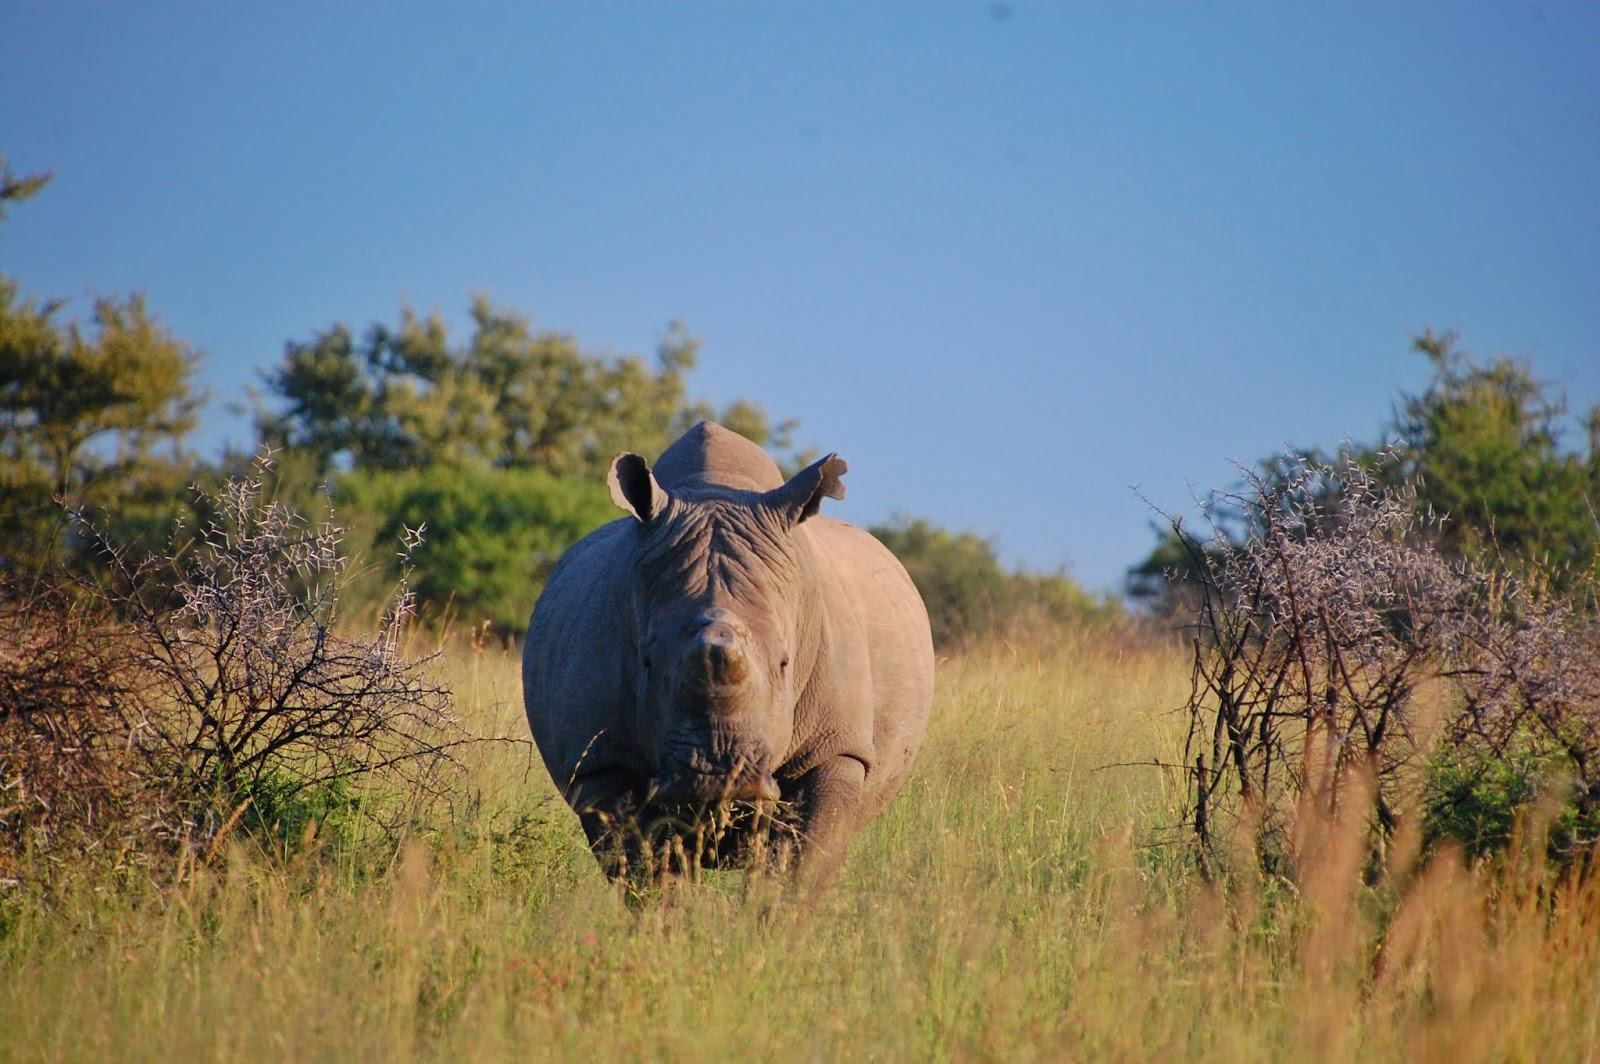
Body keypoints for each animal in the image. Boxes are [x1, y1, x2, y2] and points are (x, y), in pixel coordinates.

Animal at [522, 421, 934, 885]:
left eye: (785, 663)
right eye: (646, 663)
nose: (717, 774)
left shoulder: (835, 746)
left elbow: (801, 865)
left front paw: (775, 907)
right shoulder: (601, 759)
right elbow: (642, 867)